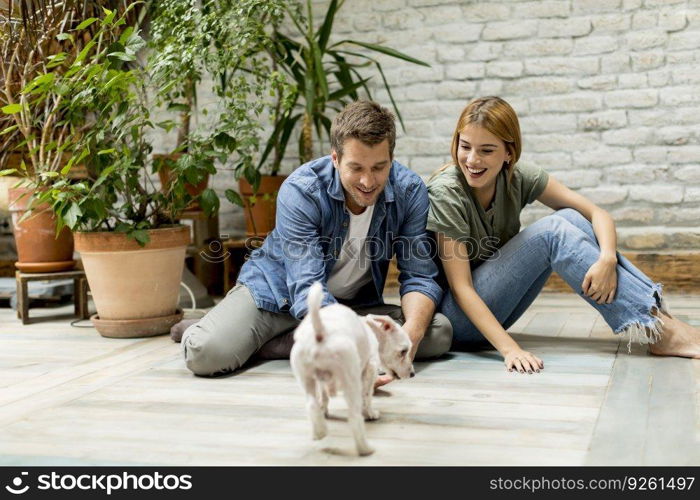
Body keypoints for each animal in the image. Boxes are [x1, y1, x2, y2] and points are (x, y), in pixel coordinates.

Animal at [290, 284, 416, 456]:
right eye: (404, 351)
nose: (412, 374)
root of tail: (321, 332)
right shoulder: (369, 369)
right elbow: (367, 396)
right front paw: (370, 413)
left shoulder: (321, 382)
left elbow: (323, 398)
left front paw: (324, 412)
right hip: (351, 379)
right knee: (354, 417)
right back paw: (365, 448)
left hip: (306, 378)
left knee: (311, 405)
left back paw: (319, 432)